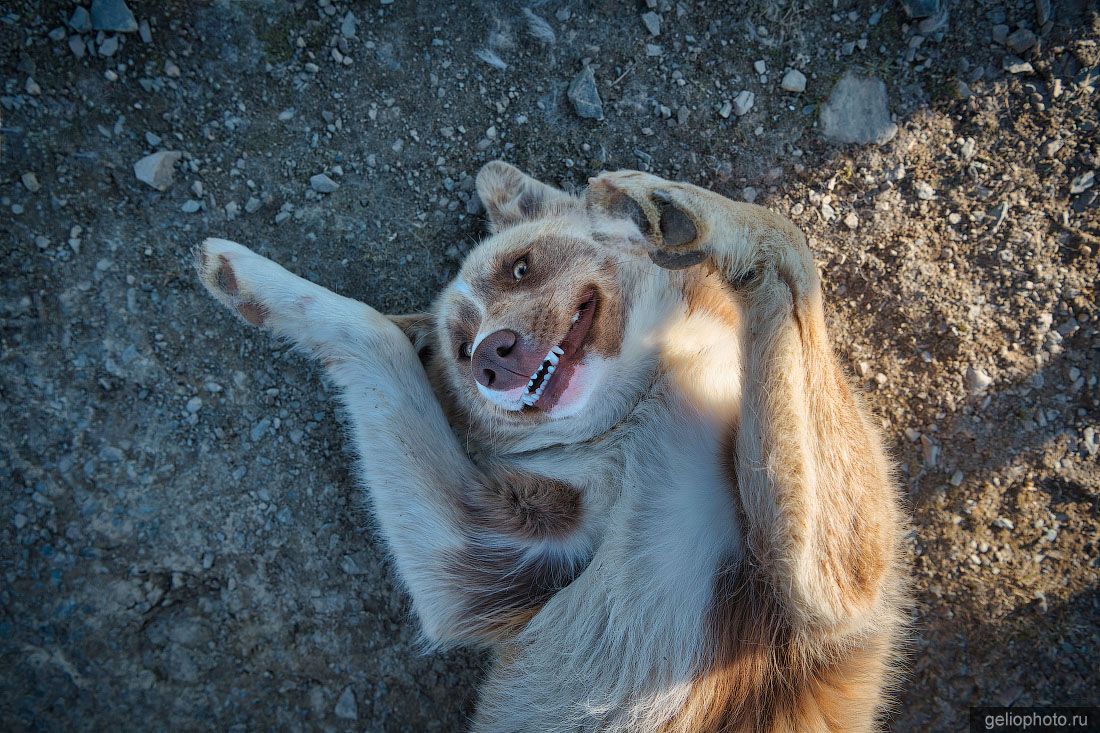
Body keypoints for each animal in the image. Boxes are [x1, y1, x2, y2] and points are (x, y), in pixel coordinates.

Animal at [195, 162, 902, 726]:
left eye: (521, 266)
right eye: (461, 347)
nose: (491, 358)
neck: (638, 406)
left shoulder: (840, 585)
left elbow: (789, 236)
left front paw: (689, 213)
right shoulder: (488, 557)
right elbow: (376, 335)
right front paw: (251, 280)